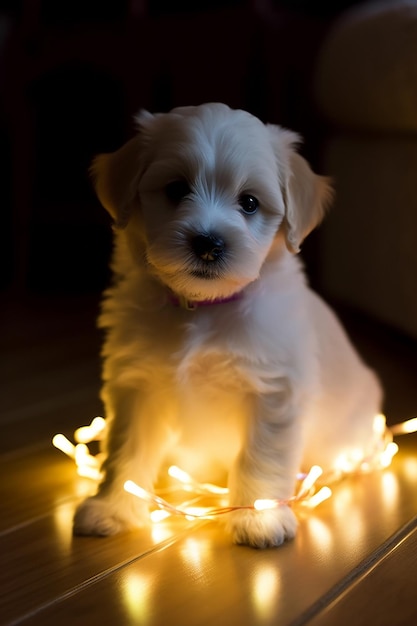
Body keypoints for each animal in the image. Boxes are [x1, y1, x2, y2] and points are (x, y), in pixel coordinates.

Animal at [74, 102, 380, 544]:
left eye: (249, 202)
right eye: (176, 189)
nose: (208, 243)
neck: (204, 307)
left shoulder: (272, 387)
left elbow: (259, 454)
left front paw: (258, 517)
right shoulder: (136, 383)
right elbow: (125, 448)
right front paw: (112, 507)